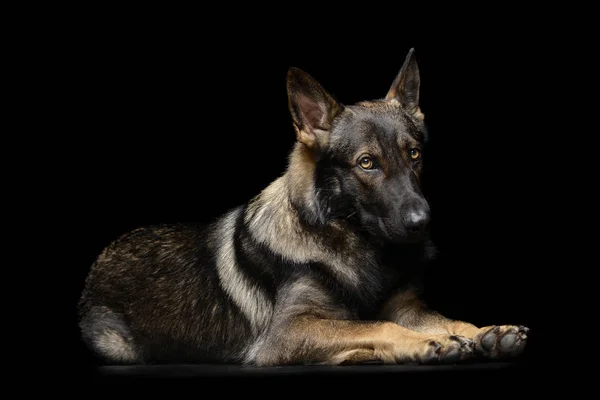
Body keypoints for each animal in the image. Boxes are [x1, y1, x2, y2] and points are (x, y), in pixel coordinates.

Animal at [76, 49, 528, 366]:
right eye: (367, 163)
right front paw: (427, 341)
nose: (423, 223)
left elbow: (443, 319)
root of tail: (103, 256)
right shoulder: (289, 331)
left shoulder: (407, 308)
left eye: (414, 154)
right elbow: (373, 324)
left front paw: (487, 331)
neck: (356, 244)